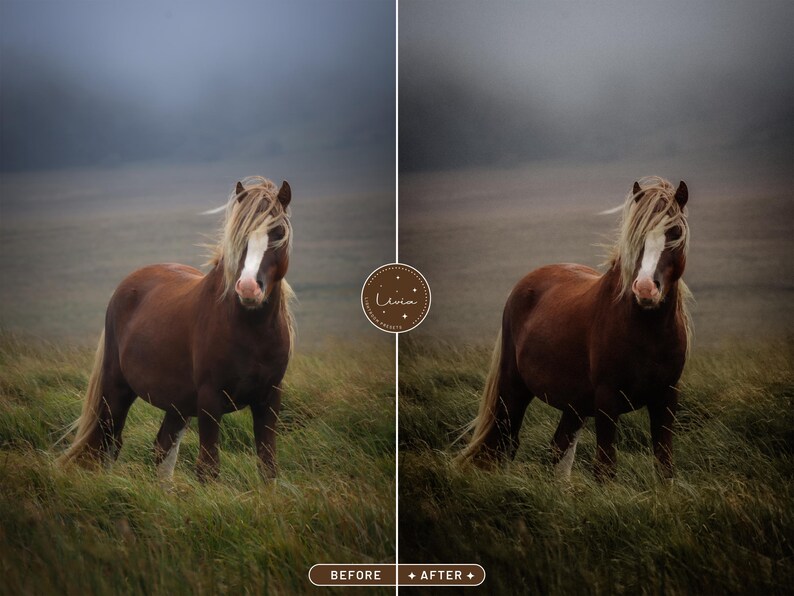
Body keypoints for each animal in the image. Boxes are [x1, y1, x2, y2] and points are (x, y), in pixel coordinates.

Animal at [58, 176, 295, 483]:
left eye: (278, 232)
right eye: (239, 235)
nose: (248, 288)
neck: (251, 332)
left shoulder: (269, 399)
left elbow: (268, 467)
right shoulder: (209, 399)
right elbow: (208, 468)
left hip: (178, 403)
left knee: (163, 449)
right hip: (117, 389)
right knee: (110, 443)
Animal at [460, 176, 692, 481]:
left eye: (675, 231)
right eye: (635, 235)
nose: (645, 288)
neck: (647, 332)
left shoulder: (666, 397)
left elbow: (665, 465)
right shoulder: (607, 400)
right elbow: (605, 468)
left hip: (575, 403)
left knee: (559, 449)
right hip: (514, 389)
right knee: (504, 442)